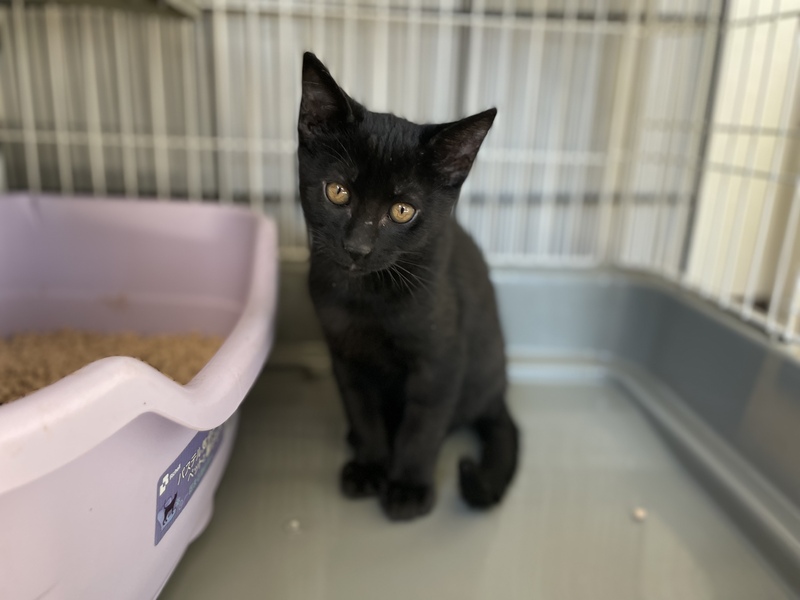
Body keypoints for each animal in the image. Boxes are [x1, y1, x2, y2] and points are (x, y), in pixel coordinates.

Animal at [297, 52, 519, 521]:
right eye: (337, 191)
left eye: (402, 210)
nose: (357, 247)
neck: (367, 299)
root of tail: (499, 393)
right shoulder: (345, 357)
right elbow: (363, 412)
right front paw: (370, 465)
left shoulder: (441, 363)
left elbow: (423, 426)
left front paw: (408, 487)